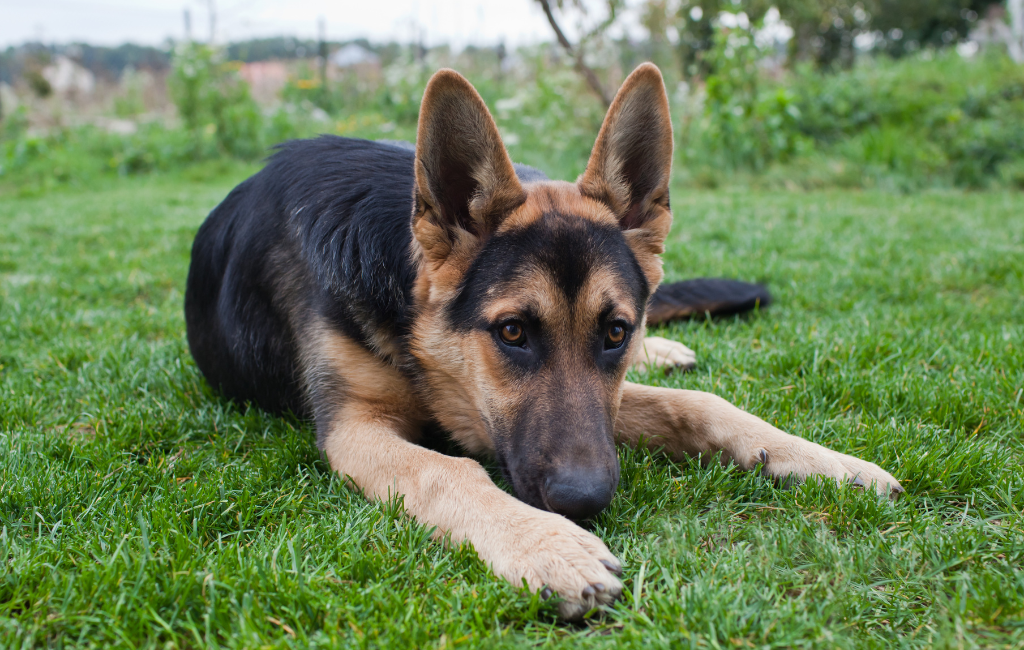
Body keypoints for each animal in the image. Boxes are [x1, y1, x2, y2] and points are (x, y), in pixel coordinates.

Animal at [186, 63, 905, 618]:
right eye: (512, 333)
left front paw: (827, 461)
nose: (584, 502)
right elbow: (445, 469)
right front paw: (546, 544)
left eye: (614, 332)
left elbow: (701, 406)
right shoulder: (355, 427)